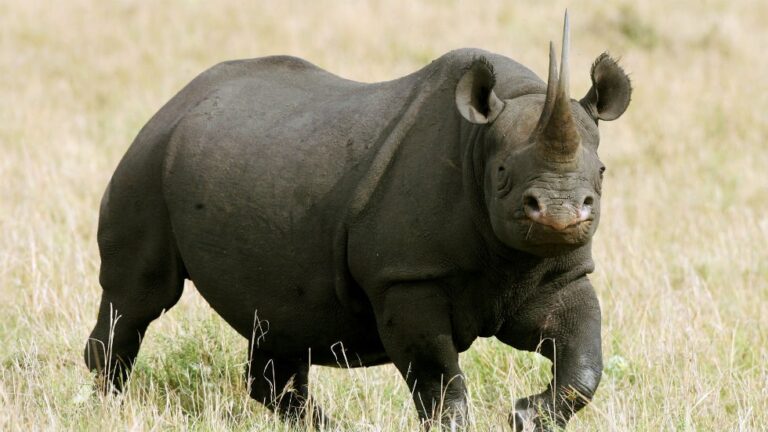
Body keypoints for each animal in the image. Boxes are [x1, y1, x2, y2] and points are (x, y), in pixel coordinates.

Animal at [84, 12, 631, 431]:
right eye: (501, 175)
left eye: (603, 173)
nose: (560, 214)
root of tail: (176, 99)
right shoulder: (406, 277)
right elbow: (437, 379)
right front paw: (462, 423)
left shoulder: (560, 273)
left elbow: (584, 362)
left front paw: (526, 415)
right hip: (147, 161)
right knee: (140, 296)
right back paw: (105, 402)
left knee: (280, 324)